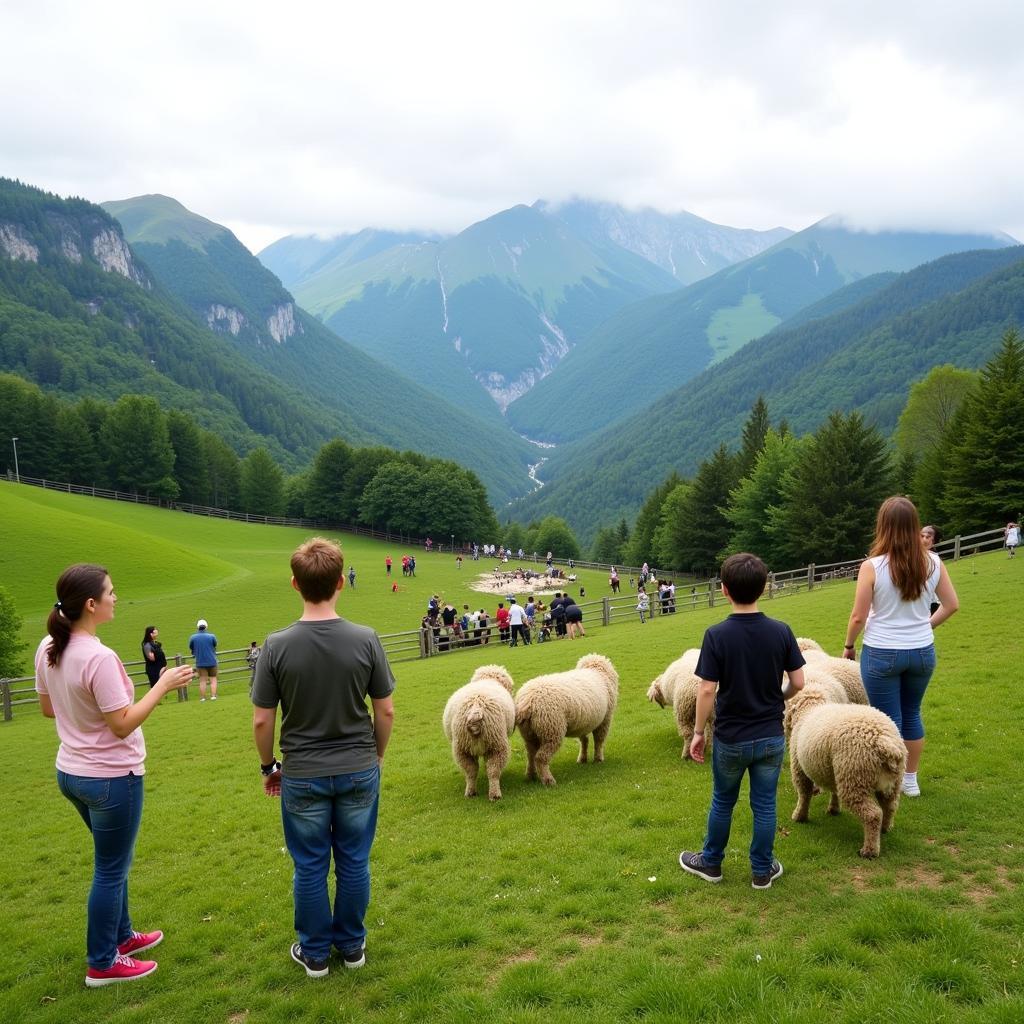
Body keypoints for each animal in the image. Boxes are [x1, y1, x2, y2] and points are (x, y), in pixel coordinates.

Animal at [442, 663, 516, 798]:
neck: (488, 679)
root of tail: (476, 708)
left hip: (462, 748)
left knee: (470, 771)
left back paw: (470, 792)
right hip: (497, 745)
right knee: (493, 770)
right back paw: (495, 794)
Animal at [516, 651, 618, 786]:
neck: (596, 670)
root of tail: (528, 700)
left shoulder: (583, 722)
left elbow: (584, 740)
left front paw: (583, 758)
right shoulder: (605, 720)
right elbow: (599, 741)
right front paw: (598, 758)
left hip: (529, 734)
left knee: (531, 755)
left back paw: (531, 776)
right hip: (551, 730)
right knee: (540, 757)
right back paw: (548, 780)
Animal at [782, 684, 905, 860]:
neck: (810, 710)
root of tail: (885, 743)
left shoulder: (799, 768)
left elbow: (804, 794)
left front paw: (799, 816)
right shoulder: (833, 771)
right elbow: (834, 791)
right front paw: (834, 809)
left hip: (854, 778)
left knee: (873, 815)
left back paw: (869, 850)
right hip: (890, 783)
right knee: (890, 806)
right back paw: (885, 829)